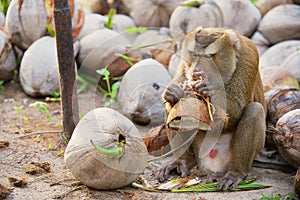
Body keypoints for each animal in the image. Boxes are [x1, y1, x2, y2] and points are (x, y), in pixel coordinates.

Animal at [158, 27, 266, 190]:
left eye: (209, 56)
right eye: (194, 54)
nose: (196, 70)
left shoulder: (249, 58)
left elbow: (238, 109)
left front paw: (208, 90)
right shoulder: (185, 63)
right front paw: (174, 93)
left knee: (255, 110)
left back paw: (236, 173)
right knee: (170, 111)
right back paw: (183, 162)